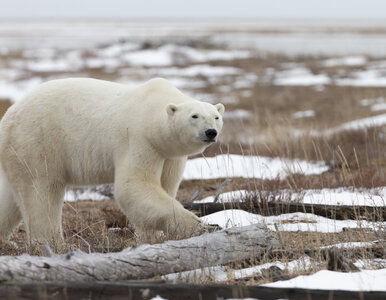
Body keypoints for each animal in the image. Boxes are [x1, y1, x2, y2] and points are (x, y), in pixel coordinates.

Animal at [0, 77, 223, 244]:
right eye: (194, 116)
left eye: (216, 116)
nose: (210, 132)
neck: (150, 112)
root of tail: (8, 117)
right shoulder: (138, 139)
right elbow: (133, 186)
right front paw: (200, 226)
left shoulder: (168, 154)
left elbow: (164, 187)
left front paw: (151, 237)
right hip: (37, 143)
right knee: (41, 194)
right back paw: (50, 243)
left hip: (18, 154)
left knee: (11, 198)